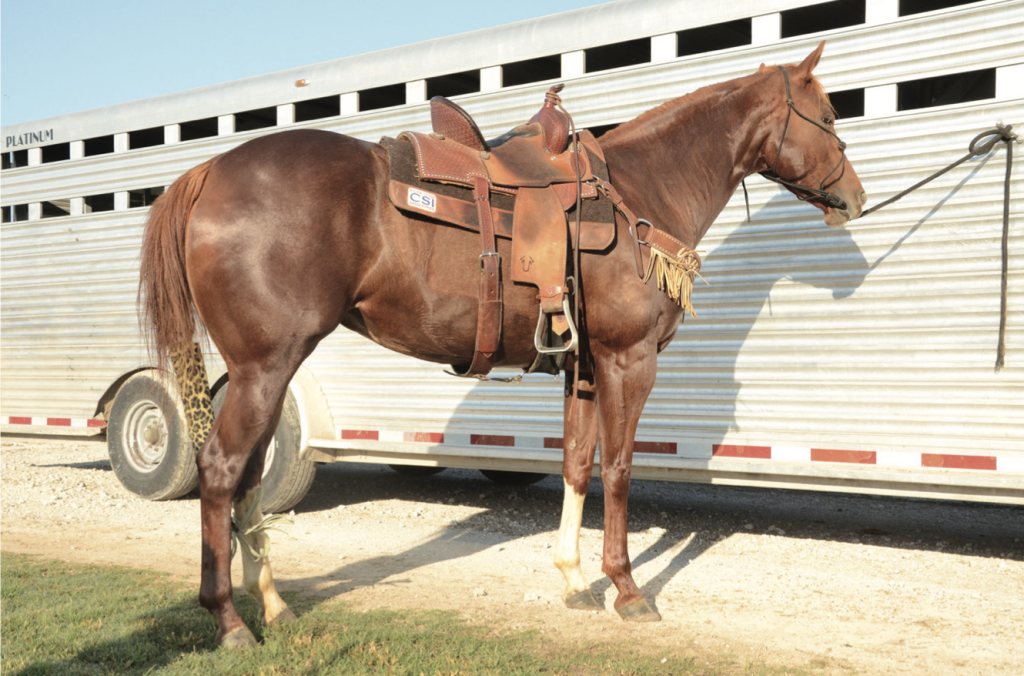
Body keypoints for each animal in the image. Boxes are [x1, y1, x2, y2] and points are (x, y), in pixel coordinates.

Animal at [138, 41, 866, 647]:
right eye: (829, 116)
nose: (856, 197)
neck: (641, 191)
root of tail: (208, 171)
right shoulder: (628, 359)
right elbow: (619, 469)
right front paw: (626, 590)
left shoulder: (582, 365)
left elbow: (577, 464)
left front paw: (573, 579)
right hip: (265, 366)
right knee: (221, 471)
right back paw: (231, 621)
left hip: (267, 369)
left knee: (247, 478)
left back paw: (273, 603)